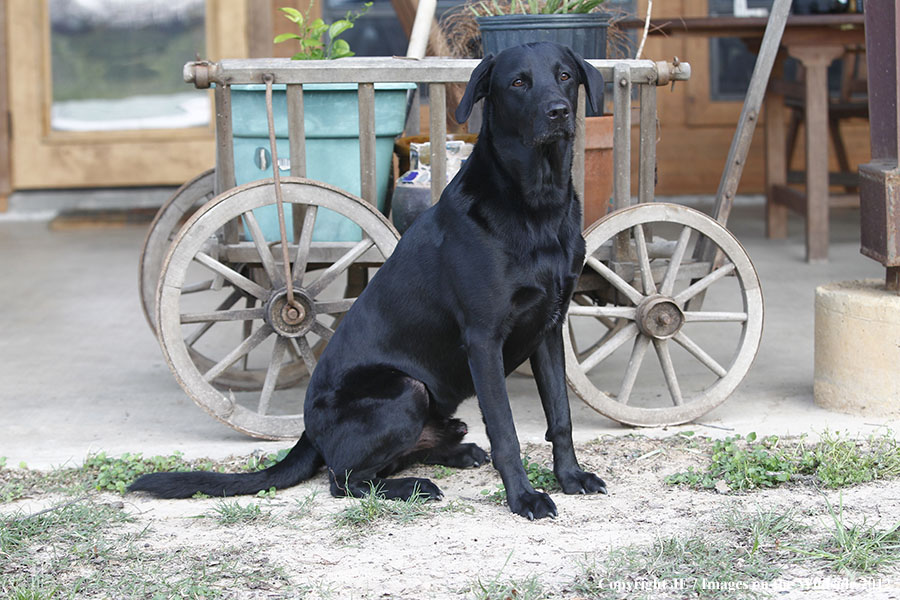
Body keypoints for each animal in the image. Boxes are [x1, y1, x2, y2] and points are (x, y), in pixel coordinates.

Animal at [132, 43, 604, 520]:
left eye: (564, 76)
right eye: (518, 82)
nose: (559, 112)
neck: (537, 205)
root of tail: (308, 433)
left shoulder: (548, 329)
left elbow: (560, 417)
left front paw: (570, 477)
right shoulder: (484, 338)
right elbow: (506, 430)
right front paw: (523, 497)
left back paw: (456, 454)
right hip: (406, 391)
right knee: (344, 480)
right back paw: (415, 487)